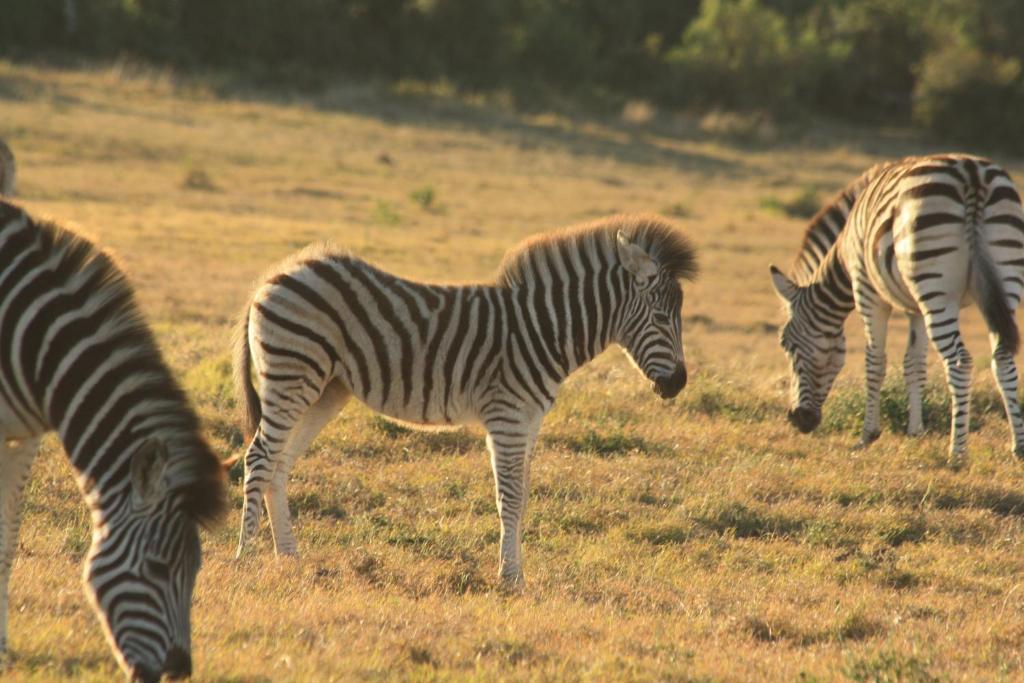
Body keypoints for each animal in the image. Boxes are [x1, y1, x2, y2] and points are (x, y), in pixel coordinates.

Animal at [231, 215, 696, 589]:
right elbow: (509, 498)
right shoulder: (507, 417)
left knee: (279, 464)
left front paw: (517, 573)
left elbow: (524, 497)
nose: (677, 385)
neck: (543, 330)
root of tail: (276, 274)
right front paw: (510, 579)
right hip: (293, 374)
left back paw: (289, 558)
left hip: (326, 388)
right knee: (259, 457)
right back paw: (245, 559)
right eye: (661, 318)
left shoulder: (529, 422)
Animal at [770, 153, 1024, 464]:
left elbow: (875, 362)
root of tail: (971, 173)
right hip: (1003, 277)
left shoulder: (867, 291)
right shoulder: (915, 308)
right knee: (1003, 359)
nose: (798, 420)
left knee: (960, 362)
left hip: (935, 289)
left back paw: (957, 453)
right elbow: (913, 364)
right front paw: (916, 431)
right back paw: (1018, 446)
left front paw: (867, 435)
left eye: (787, 345)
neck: (844, 250)